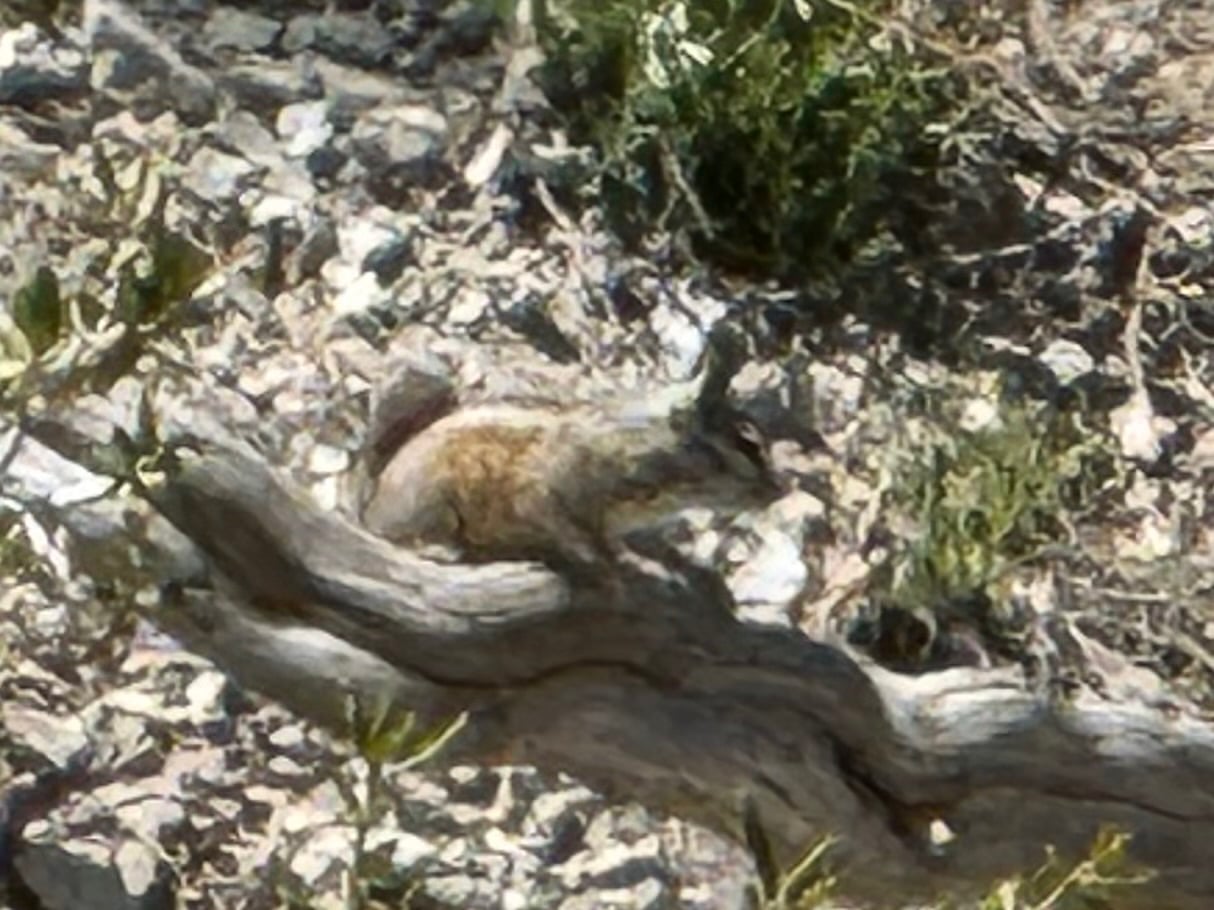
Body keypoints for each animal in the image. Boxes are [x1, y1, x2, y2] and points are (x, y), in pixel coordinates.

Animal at [357, 325, 782, 579]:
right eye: (744, 447)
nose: (777, 492)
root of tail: (373, 506)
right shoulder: (546, 496)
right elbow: (581, 540)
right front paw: (625, 565)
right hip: (433, 501)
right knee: (402, 537)